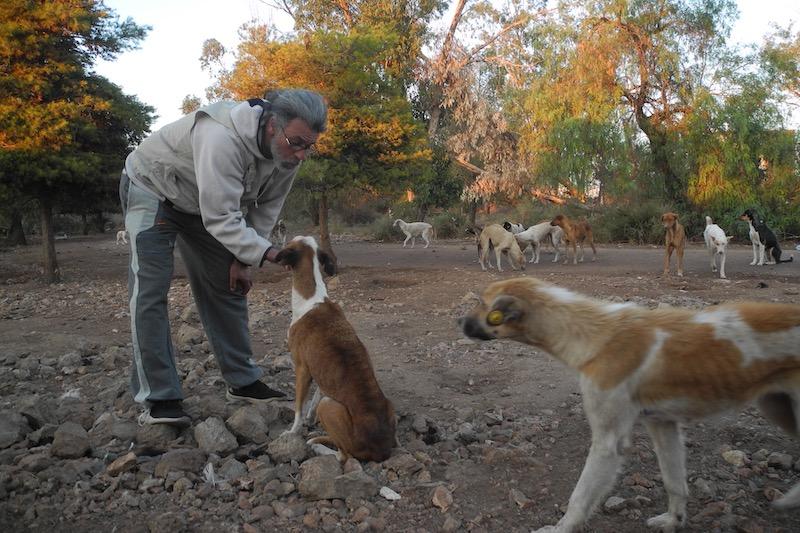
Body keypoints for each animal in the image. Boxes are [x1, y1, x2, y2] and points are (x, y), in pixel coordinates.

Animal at [276, 237, 398, 462]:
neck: (312, 299)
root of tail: (380, 450)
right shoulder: (318, 372)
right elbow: (317, 393)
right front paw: (310, 418)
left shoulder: (302, 369)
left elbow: (298, 408)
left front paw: (293, 430)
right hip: (387, 405)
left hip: (329, 407)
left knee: (344, 455)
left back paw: (318, 446)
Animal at [460, 276, 800, 532]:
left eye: (481, 303)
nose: (458, 321)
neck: (594, 335)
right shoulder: (662, 425)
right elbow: (674, 481)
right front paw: (673, 520)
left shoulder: (608, 443)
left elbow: (579, 498)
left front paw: (560, 528)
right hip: (776, 406)